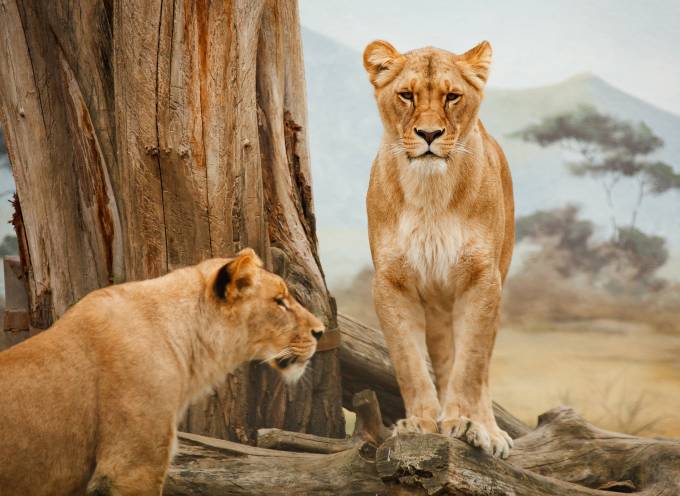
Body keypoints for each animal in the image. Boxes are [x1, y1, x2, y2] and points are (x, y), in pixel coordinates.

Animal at [363, 40, 515, 458]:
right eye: (406, 95)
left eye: (452, 96)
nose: (429, 133)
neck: (430, 192)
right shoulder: (391, 283)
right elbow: (409, 362)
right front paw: (421, 422)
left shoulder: (482, 280)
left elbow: (471, 366)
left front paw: (464, 423)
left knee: (482, 367)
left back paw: (489, 431)